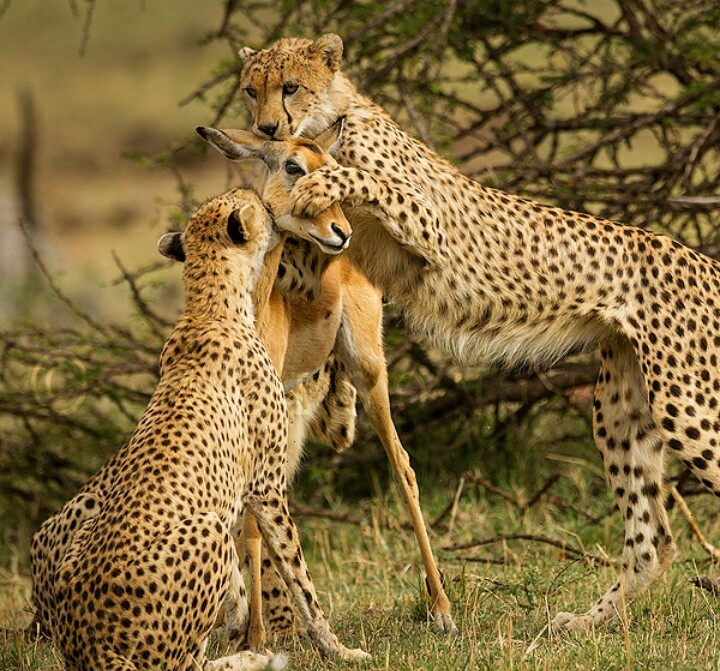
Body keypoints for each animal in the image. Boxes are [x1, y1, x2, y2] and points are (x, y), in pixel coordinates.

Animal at [30, 186, 368, 668]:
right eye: (260, 208)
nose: (267, 202)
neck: (210, 306)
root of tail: (92, 648)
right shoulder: (266, 485)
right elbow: (299, 577)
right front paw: (337, 648)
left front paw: (240, 612)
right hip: (203, 531)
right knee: (188, 663)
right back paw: (258, 657)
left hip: (79, 544)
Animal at [229, 32, 720, 636]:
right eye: (251, 90)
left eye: (291, 86)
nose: (268, 127)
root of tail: (705, 262)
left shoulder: (430, 229)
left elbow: (366, 182)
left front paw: (321, 181)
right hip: (622, 404)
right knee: (653, 541)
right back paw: (581, 623)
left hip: (685, 403)